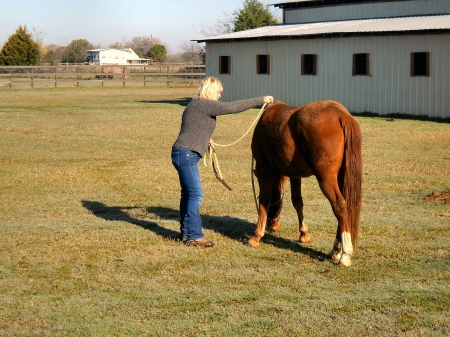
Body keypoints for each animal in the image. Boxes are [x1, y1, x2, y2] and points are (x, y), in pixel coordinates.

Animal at [250, 100, 362, 266]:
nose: (272, 225)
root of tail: (341, 115)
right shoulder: (295, 175)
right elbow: (297, 201)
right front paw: (304, 234)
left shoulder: (264, 171)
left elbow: (264, 200)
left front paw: (256, 236)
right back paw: (336, 250)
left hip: (326, 178)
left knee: (339, 205)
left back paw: (345, 254)